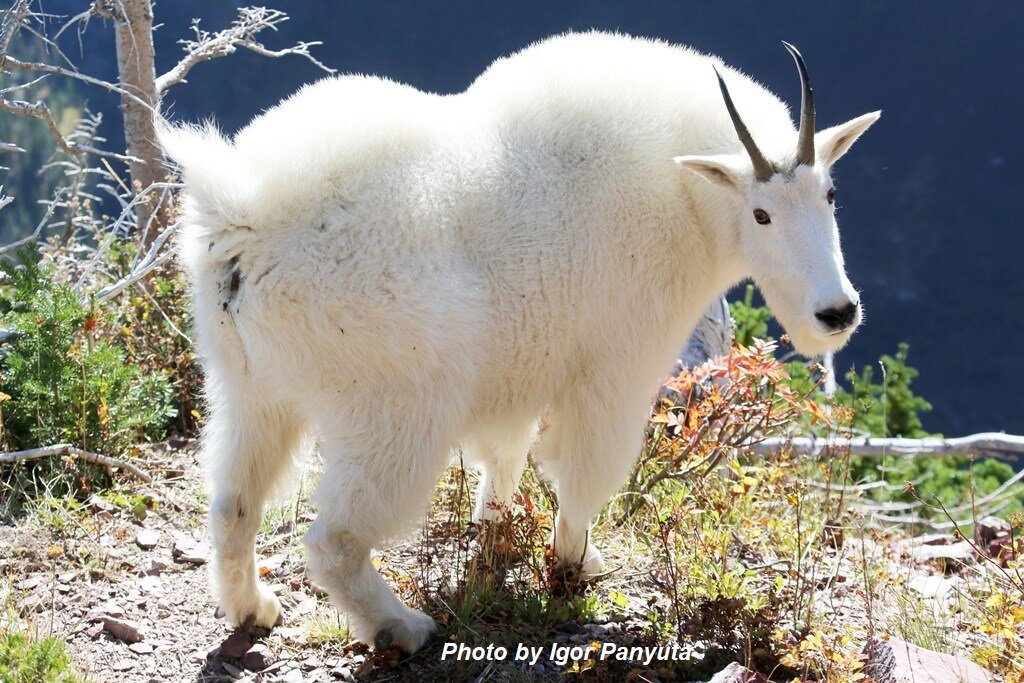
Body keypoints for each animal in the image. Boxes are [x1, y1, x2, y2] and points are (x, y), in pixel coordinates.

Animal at [159, 30, 880, 651]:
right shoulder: (615, 367)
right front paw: (576, 564)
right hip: (395, 404)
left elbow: (504, 456)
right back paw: (401, 626)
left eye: (830, 193)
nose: (837, 313)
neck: (683, 192)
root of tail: (243, 220)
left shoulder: (520, 366)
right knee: (334, 537)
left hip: (247, 385)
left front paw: (496, 535)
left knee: (232, 504)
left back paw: (253, 607)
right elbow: (585, 473)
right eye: (761, 213)